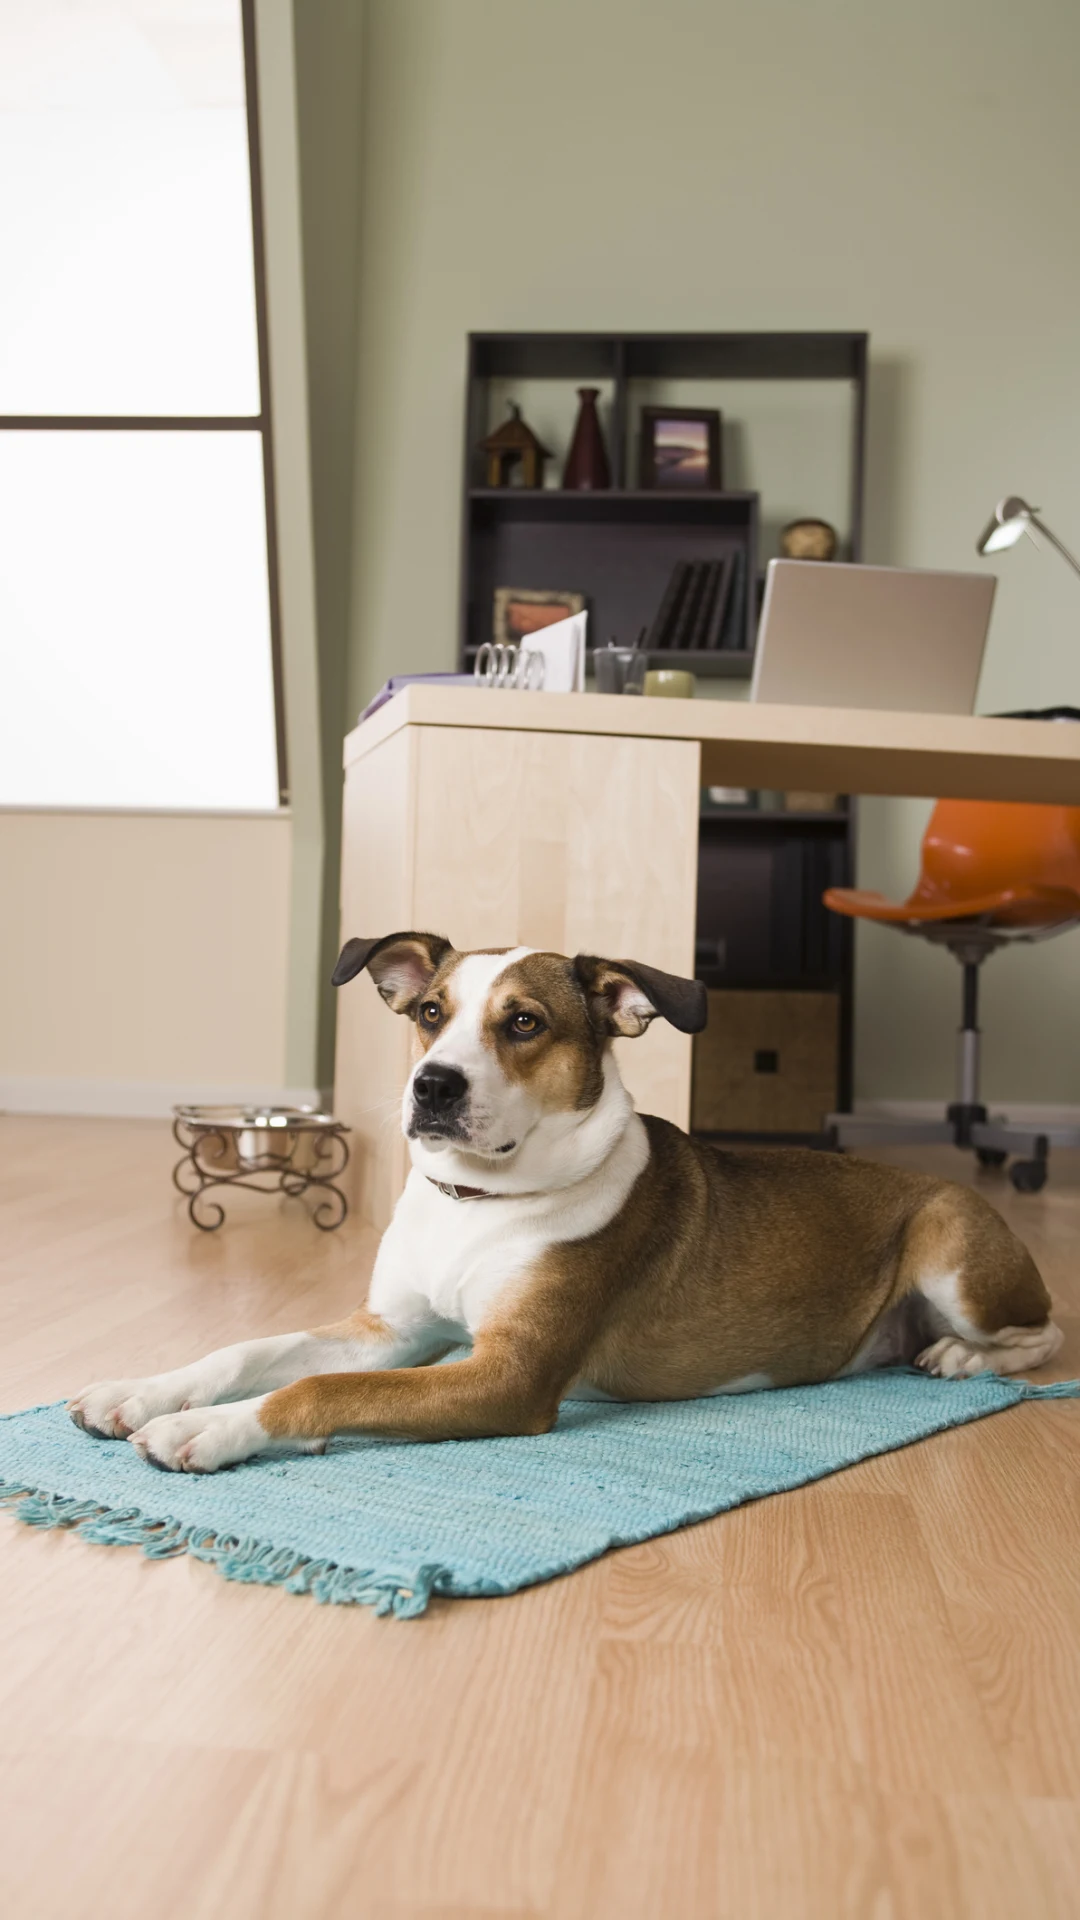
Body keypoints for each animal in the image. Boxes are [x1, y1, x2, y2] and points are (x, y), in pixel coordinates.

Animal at [69, 936, 1060, 1474]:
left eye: (524, 1023)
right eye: (429, 1013)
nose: (431, 1087)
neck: (477, 1200)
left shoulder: (509, 1376)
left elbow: (318, 1387)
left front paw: (205, 1430)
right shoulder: (393, 1331)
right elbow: (253, 1351)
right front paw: (141, 1392)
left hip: (951, 1242)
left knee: (1044, 1332)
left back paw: (962, 1358)